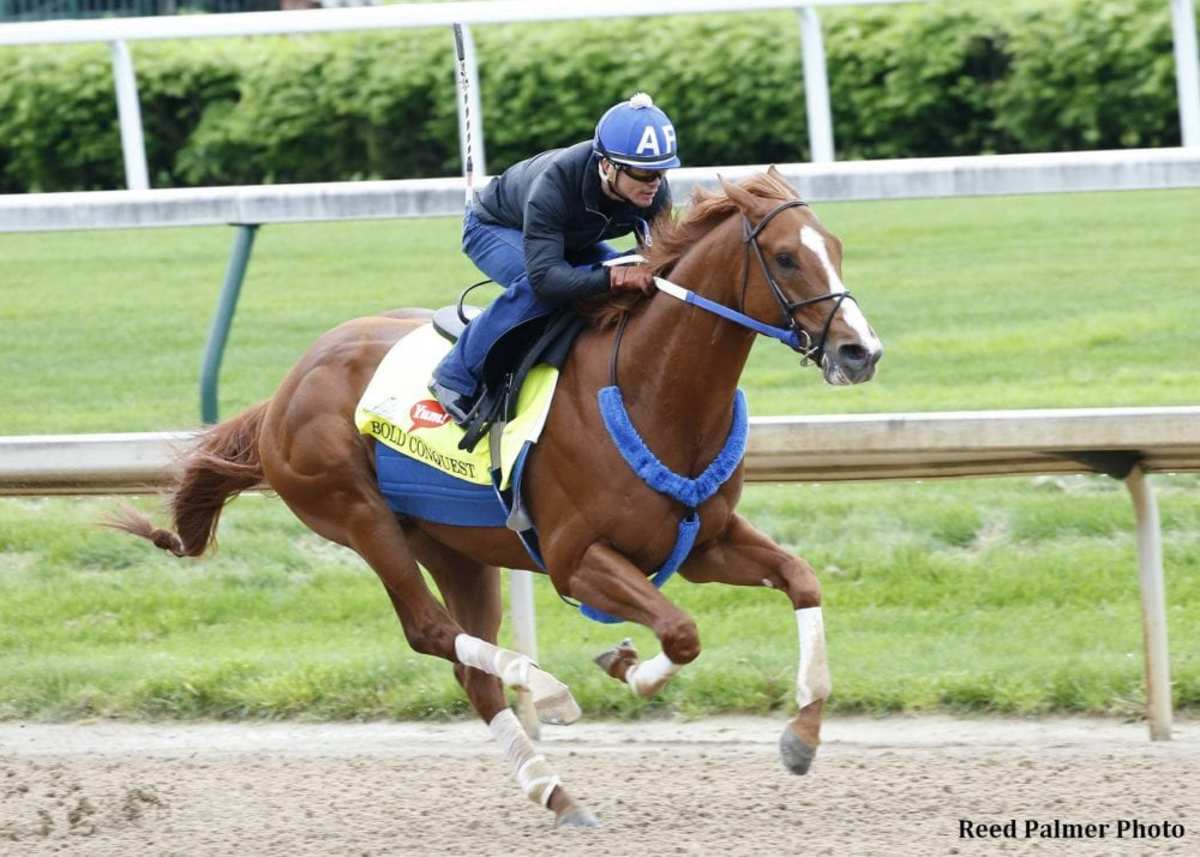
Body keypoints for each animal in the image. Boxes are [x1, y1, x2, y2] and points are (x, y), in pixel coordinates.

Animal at [112, 163, 883, 825]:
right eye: (785, 257)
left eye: (837, 247)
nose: (861, 352)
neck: (651, 387)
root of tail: (282, 391)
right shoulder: (576, 559)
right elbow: (682, 631)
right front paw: (625, 667)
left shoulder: (704, 541)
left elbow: (801, 579)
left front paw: (802, 734)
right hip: (358, 515)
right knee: (430, 631)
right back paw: (549, 690)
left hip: (456, 549)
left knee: (470, 670)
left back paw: (555, 791)